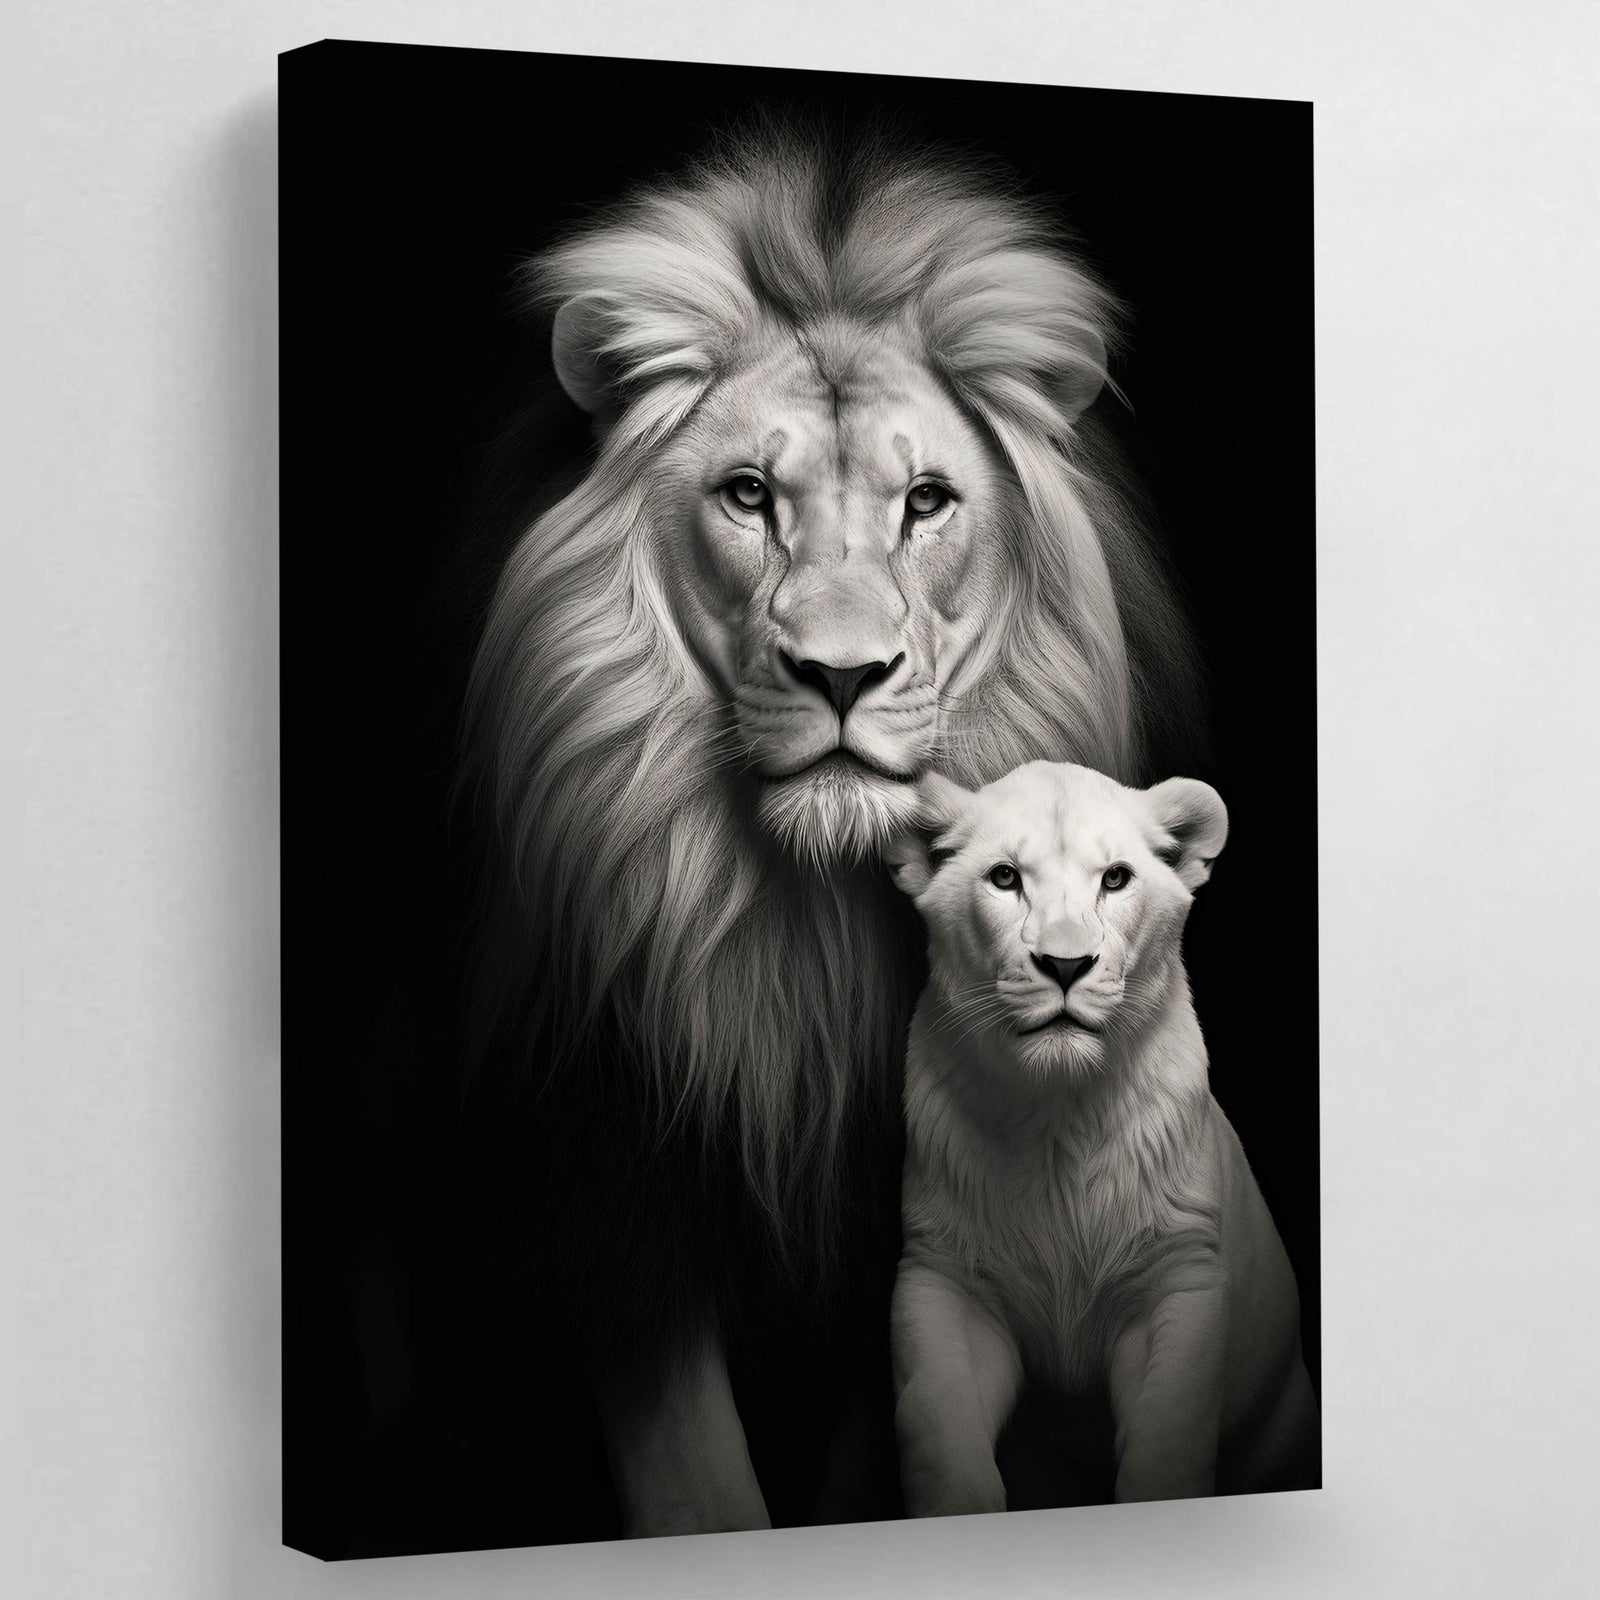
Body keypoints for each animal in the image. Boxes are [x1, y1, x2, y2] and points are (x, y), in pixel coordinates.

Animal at [462, 124, 1202, 1537]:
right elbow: (694, 1481)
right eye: (749, 494)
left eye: (926, 501)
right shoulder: (612, 1186)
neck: (798, 940)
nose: (842, 675)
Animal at [886, 762, 1319, 1514]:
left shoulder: (1176, 1279)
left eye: (1115, 878)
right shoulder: (944, 1278)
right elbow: (942, 1444)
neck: (1058, 1120)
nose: (1066, 965)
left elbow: (1167, 1451)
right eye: (1005, 877)